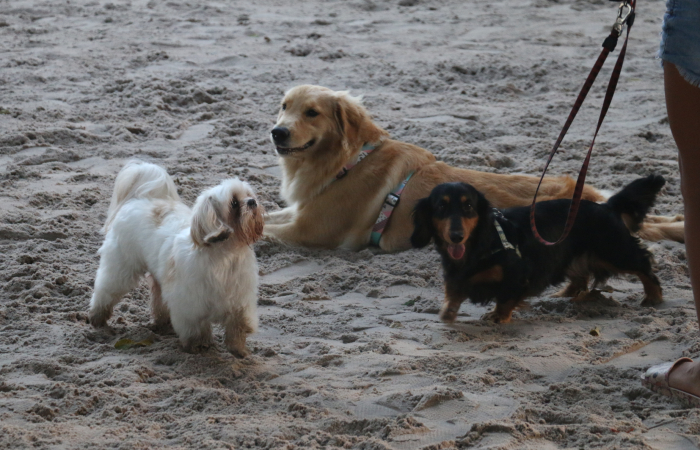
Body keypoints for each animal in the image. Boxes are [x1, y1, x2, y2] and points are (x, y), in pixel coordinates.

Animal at [87, 160, 262, 356]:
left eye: (249, 195)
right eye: (234, 203)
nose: (252, 202)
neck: (226, 255)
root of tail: (139, 198)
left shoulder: (240, 301)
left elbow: (237, 326)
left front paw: (238, 349)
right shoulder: (190, 303)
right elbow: (195, 327)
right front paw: (198, 345)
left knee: (158, 299)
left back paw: (163, 323)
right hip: (120, 267)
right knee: (105, 290)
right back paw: (97, 317)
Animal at [412, 175, 664, 324]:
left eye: (468, 206)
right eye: (441, 206)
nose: (456, 236)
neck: (478, 244)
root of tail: (607, 206)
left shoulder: (518, 275)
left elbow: (506, 298)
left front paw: (497, 316)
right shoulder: (457, 275)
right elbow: (454, 291)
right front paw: (448, 311)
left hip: (615, 252)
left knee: (644, 265)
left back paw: (653, 297)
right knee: (580, 277)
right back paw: (563, 295)